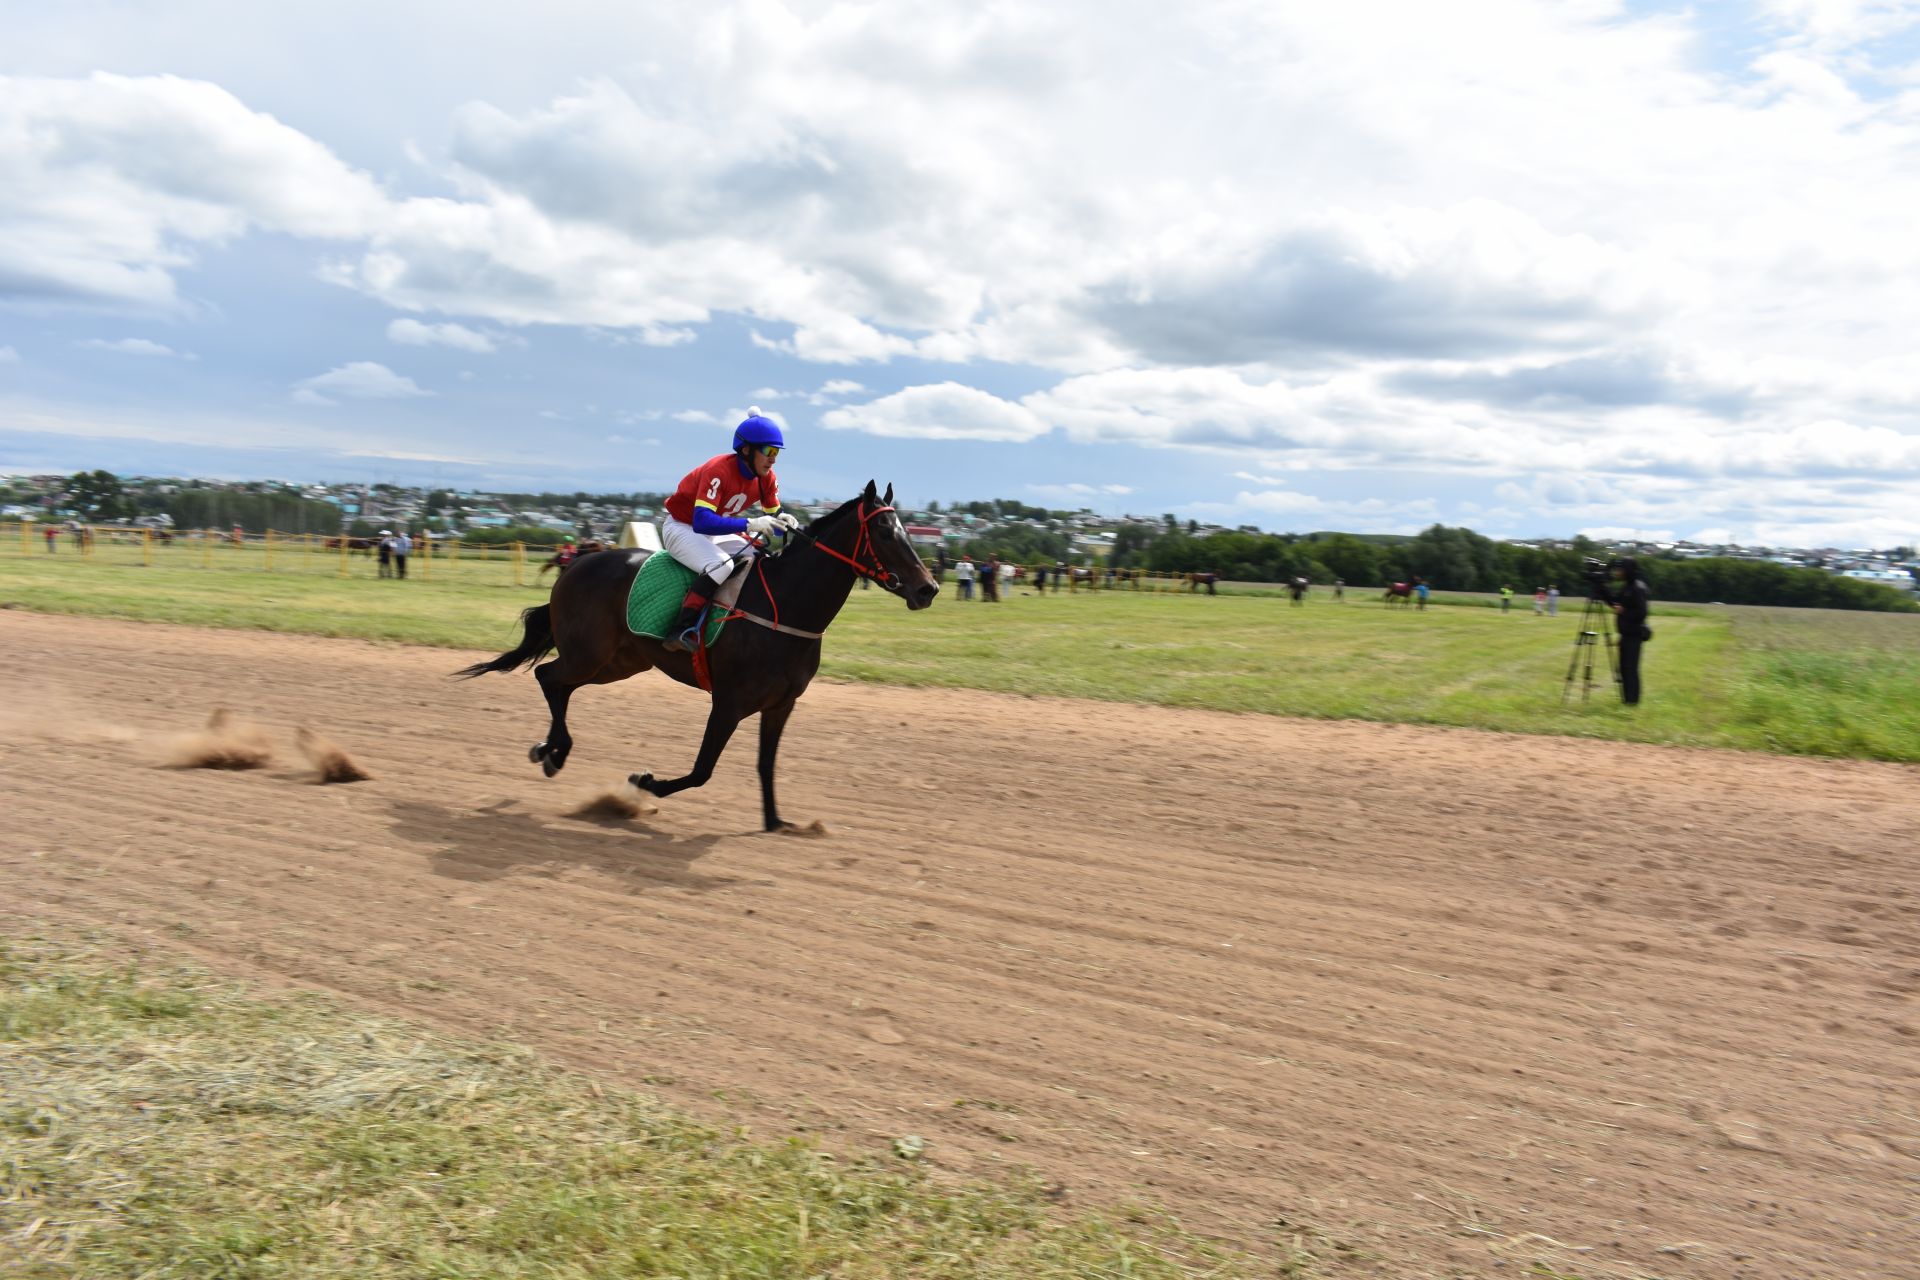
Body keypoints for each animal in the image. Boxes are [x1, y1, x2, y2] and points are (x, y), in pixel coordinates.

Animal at [456, 485, 936, 836]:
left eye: (908, 532)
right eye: (886, 533)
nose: (927, 588)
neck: (785, 607)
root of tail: (576, 564)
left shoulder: (781, 705)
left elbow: (766, 764)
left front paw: (775, 821)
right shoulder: (728, 702)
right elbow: (703, 770)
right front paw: (644, 782)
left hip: (616, 663)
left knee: (559, 683)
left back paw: (549, 749)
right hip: (589, 655)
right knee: (546, 675)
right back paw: (556, 751)